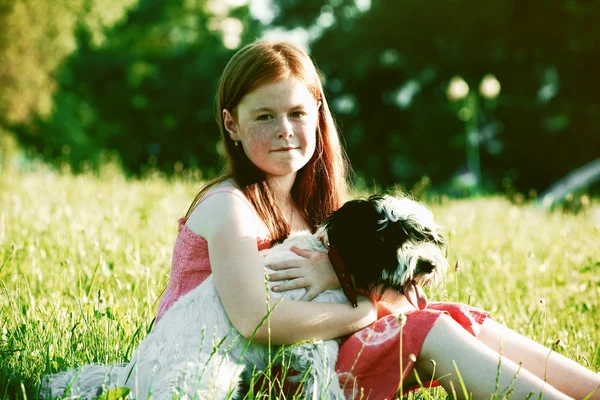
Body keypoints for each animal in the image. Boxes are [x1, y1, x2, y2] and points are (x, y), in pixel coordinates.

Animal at [44, 193, 448, 396]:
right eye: (390, 236)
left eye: (425, 236)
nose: (428, 264)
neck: (334, 263)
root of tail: (129, 377)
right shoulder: (309, 343)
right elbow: (327, 383)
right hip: (213, 376)